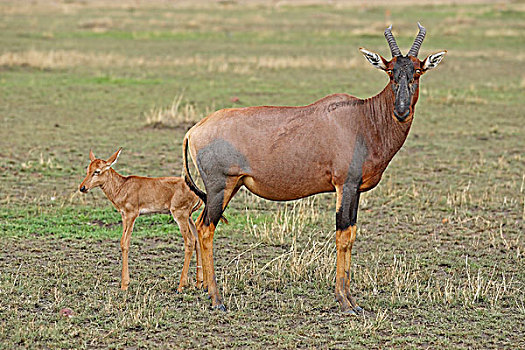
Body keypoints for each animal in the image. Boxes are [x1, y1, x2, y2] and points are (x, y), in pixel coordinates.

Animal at [79, 148, 203, 292]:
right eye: (88, 169)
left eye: (97, 171)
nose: (82, 188)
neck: (123, 186)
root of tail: (196, 191)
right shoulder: (124, 216)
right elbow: (123, 242)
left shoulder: (131, 215)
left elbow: (125, 243)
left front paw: (124, 285)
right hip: (189, 217)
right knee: (197, 239)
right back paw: (199, 283)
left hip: (180, 215)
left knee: (190, 241)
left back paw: (181, 285)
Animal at [182, 24, 444, 314]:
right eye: (390, 71)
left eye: (417, 70)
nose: (401, 111)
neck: (362, 119)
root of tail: (195, 130)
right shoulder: (345, 185)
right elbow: (343, 235)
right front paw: (344, 301)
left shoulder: (355, 189)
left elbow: (351, 233)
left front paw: (353, 301)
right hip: (221, 187)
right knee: (206, 229)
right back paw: (217, 299)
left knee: (198, 225)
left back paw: (205, 289)